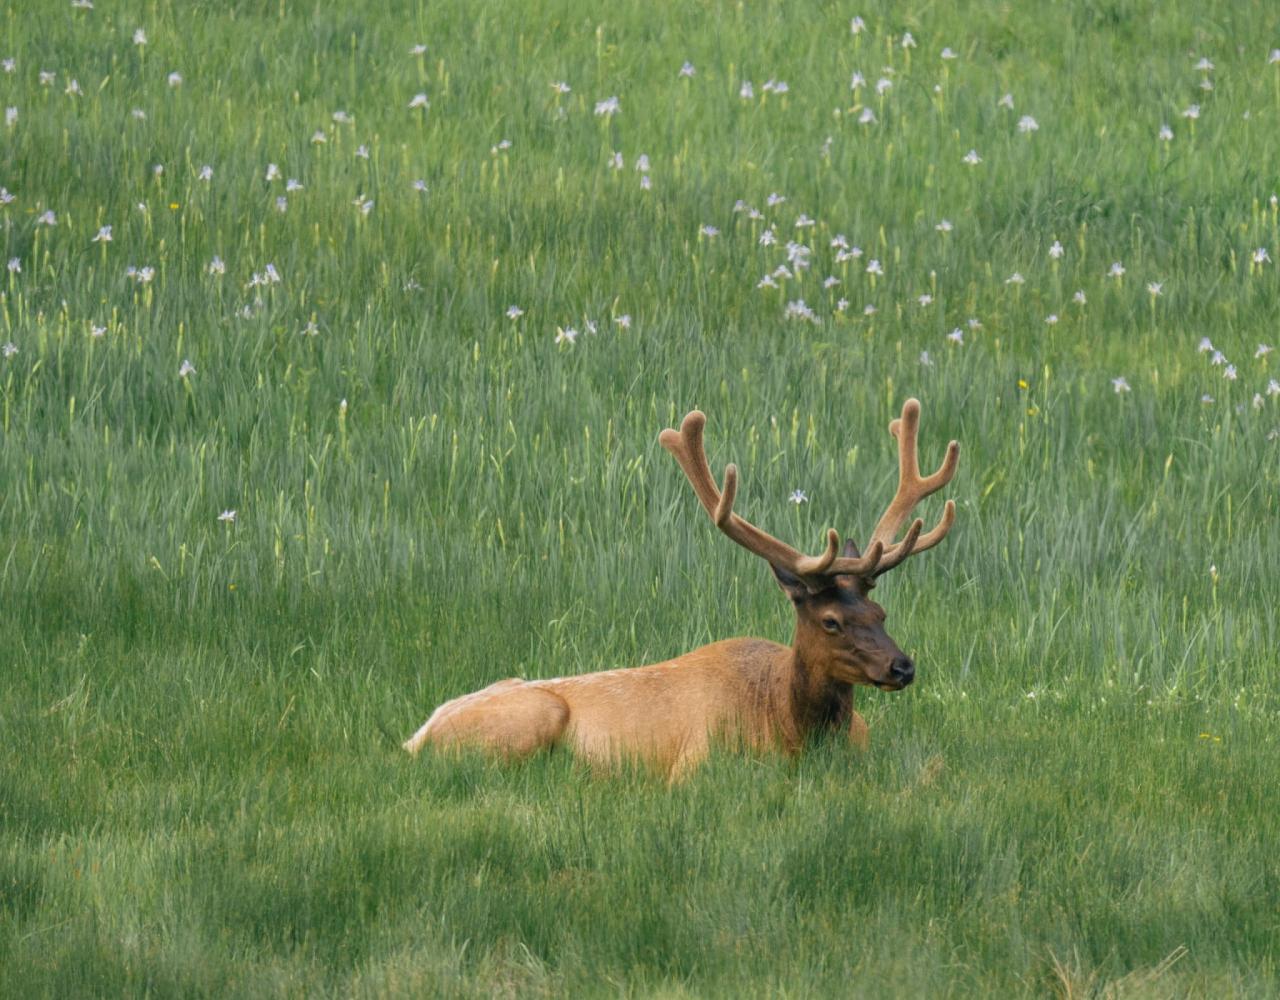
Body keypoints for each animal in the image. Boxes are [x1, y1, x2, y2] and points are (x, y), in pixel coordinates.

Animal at [404, 402, 957, 778]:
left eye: (880, 612)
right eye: (830, 621)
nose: (902, 667)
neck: (790, 725)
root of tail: (418, 737)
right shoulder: (695, 763)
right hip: (536, 715)